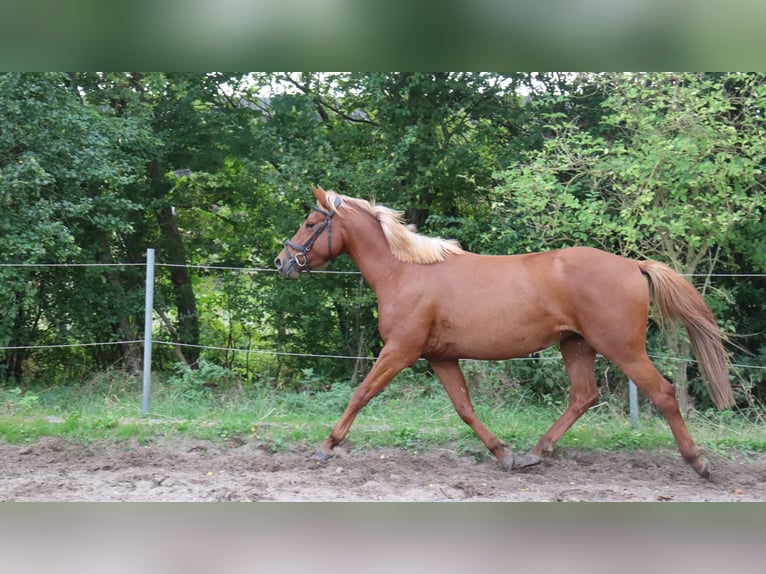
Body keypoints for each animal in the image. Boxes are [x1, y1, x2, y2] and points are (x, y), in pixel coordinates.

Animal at [272, 187, 736, 480]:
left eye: (310, 222)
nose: (282, 262)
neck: (405, 272)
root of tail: (633, 265)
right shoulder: (440, 356)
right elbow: (465, 408)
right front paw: (503, 454)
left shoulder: (399, 351)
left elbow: (361, 394)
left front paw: (327, 446)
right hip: (577, 346)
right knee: (584, 396)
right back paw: (534, 453)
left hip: (622, 349)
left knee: (663, 393)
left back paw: (699, 463)